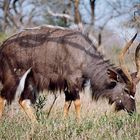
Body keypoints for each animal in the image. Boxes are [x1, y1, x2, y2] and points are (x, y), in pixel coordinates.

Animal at [0, 25, 139, 122]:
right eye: (126, 90)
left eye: (134, 92)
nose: (133, 111)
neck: (84, 55)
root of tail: (3, 45)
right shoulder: (73, 81)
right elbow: (77, 103)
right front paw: (79, 124)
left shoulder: (68, 86)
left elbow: (67, 104)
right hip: (14, 76)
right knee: (4, 96)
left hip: (30, 80)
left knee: (22, 100)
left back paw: (37, 125)